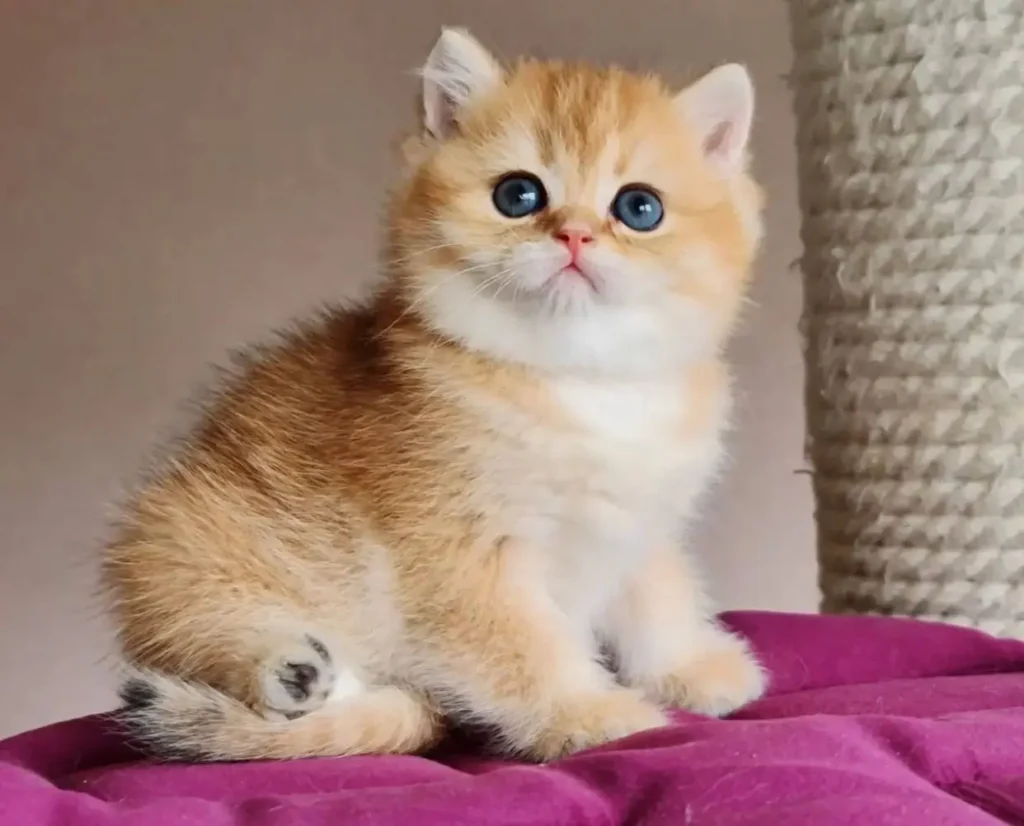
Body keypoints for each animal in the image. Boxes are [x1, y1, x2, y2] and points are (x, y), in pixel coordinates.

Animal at [105, 29, 770, 765]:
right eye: (518, 194)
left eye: (639, 208)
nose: (573, 234)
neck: (578, 381)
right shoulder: (458, 559)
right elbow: (524, 648)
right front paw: (588, 712)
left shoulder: (638, 522)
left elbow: (659, 595)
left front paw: (691, 667)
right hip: (182, 552)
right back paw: (288, 669)